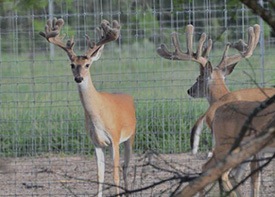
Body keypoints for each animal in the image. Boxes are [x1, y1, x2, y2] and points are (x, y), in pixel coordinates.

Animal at [39, 17, 137, 196]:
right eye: (72, 65)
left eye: (87, 65)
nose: (79, 78)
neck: (98, 115)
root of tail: (128, 96)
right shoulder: (96, 142)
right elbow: (99, 176)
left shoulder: (114, 138)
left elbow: (115, 175)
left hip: (130, 136)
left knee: (125, 168)